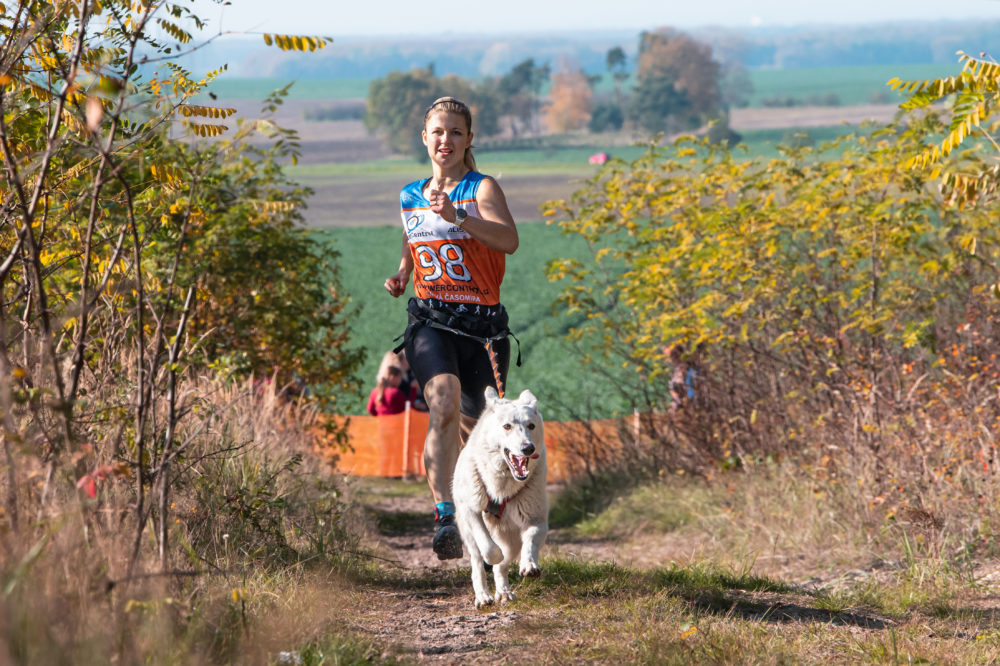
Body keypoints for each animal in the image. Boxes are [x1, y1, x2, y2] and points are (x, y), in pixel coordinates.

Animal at [452, 384, 548, 608]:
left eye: (531, 425)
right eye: (507, 426)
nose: (527, 448)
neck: (503, 486)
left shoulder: (537, 519)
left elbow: (531, 541)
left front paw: (529, 565)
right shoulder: (471, 510)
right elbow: (488, 547)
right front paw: (493, 556)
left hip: (512, 540)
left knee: (502, 566)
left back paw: (504, 592)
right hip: (468, 534)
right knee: (477, 562)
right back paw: (483, 596)